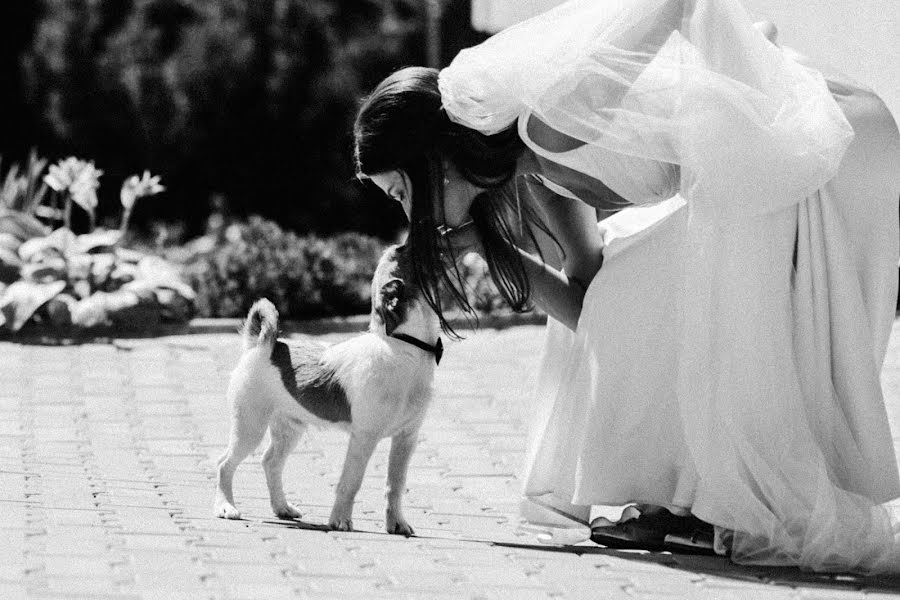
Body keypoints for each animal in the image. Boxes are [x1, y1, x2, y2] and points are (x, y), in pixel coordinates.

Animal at [212, 244, 442, 536]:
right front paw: (340, 520)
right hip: (249, 427)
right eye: (411, 256)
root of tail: (261, 345)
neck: (403, 350)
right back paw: (226, 507)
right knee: (225, 464)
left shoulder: (406, 437)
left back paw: (282, 507)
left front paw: (397, 523)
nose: (400, 244)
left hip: (289, 428)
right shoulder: (364, 437)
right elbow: (351, 481)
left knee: (270, 462)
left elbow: (395, 484)